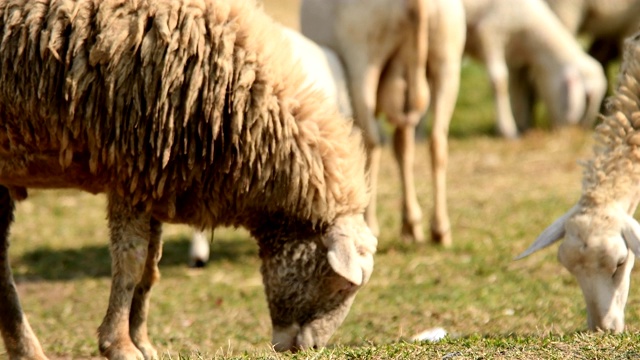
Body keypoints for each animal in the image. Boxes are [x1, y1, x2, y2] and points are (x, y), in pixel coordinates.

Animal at [0, 0, 378, 358]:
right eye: (344, 285)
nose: (307, 349)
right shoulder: (128, 170)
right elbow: (131, 263)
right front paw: (120, 346)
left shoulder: (150, 179)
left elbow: (150, 268)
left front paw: (142, 343)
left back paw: (24, 350)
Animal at [300, 0, 464, 246]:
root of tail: (418, 3)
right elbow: (403, 148)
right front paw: (411, 225)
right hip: (447, 60)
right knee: (437, 142)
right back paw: (440, 229)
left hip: (364, 61)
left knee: (371, 143)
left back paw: (370, 224)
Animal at [462, 0, 608, 139]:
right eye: (586, 98)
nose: (571, 134)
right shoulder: (490, 33)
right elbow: (499, 82)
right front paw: (508, 130)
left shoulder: (516, 59)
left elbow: (519, 86)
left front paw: (522, 124)